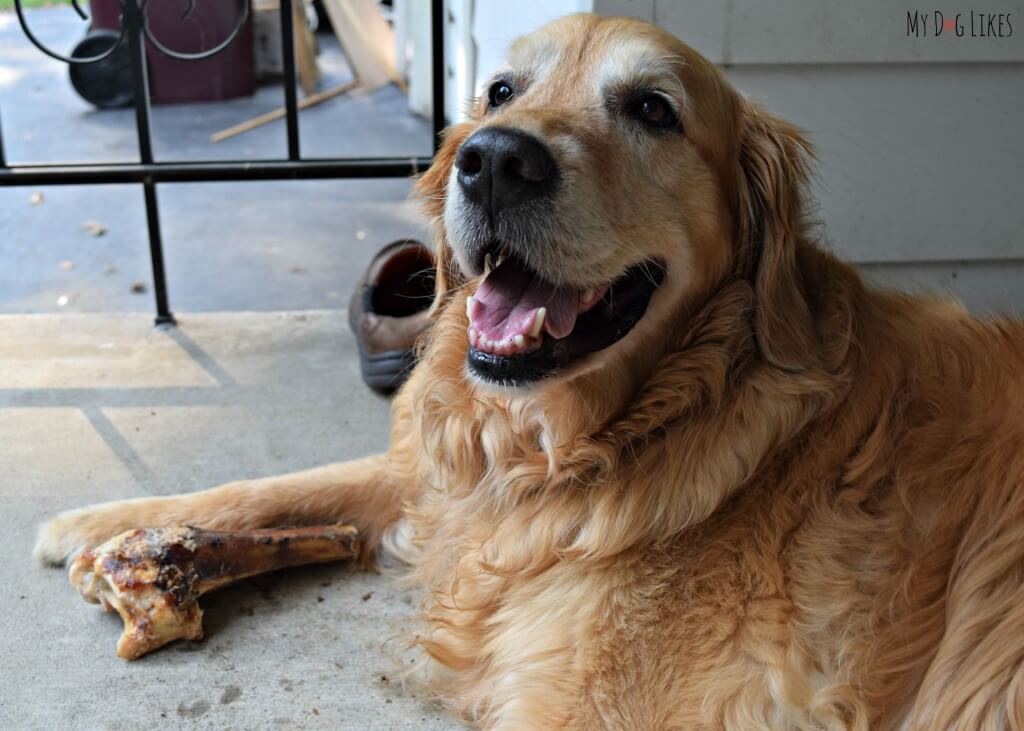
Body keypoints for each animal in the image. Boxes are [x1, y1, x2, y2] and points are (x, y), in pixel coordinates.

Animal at [34, 12, 1024, 728]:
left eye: (654, 109)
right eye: (500, 90)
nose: (494, 159)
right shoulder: (444, 485)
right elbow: (285, 484)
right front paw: (106, 524)